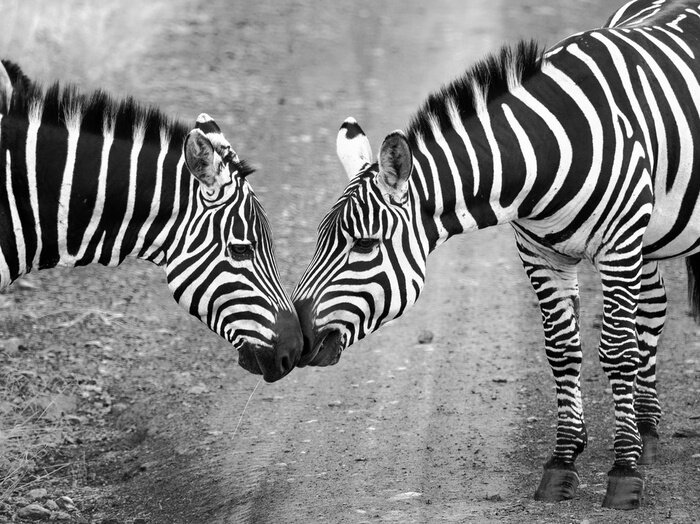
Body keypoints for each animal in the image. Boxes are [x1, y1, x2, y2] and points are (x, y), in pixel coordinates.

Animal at [292, 0, 700, 510]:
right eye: (319, 239)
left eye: (364, 244)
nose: (297, 337)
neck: (546, 151)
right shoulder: (539, 252)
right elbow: (562, 349)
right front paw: (563, 461)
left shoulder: (618, 245)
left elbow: (617, 350)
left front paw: (623, 472)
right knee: (654, 308)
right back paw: (646, 429)